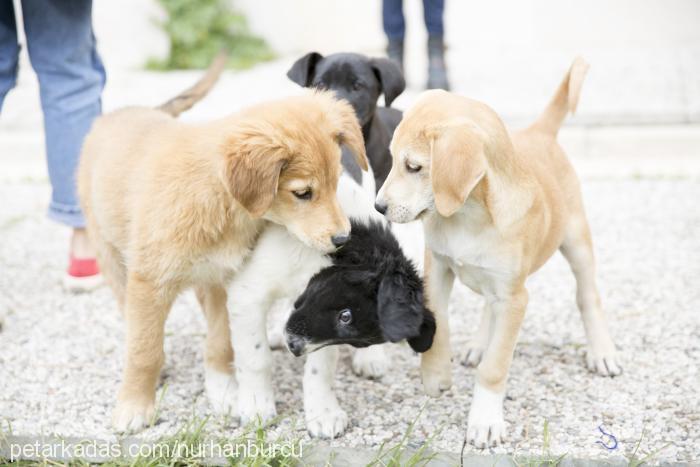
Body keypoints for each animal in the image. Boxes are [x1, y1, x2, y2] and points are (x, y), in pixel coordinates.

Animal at [78, 60, 366, 434]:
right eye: (303, 193)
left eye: (335, 184)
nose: (343, 239)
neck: (215, 200)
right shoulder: (150, 282)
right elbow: (145, 349)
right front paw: (134, 405)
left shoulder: (221, 281)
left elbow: (220, 342)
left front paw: (225, 391)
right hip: (111, 256)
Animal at [374, 59, 620, 450]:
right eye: (393, 159)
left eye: (414, 167)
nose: (378, 206)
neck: (469, 215)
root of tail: (540, 132)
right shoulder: (437, 268)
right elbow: (438, 323)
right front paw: (436, 373)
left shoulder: (515, 298)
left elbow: (494, 367)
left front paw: (485, 420)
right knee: (488, 308)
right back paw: (477, 344)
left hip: (577, 243)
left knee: (588, 297)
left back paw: (602, 351)